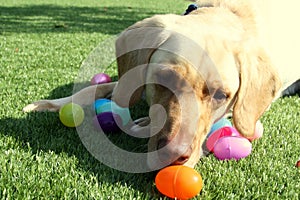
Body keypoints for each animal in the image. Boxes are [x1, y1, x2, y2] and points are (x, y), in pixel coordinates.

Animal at [24, 0, 300, 169]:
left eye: (221, 95)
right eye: (164, 78)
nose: (174, 156)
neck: (226, 11)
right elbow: (94, 89)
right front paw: (48, 104)